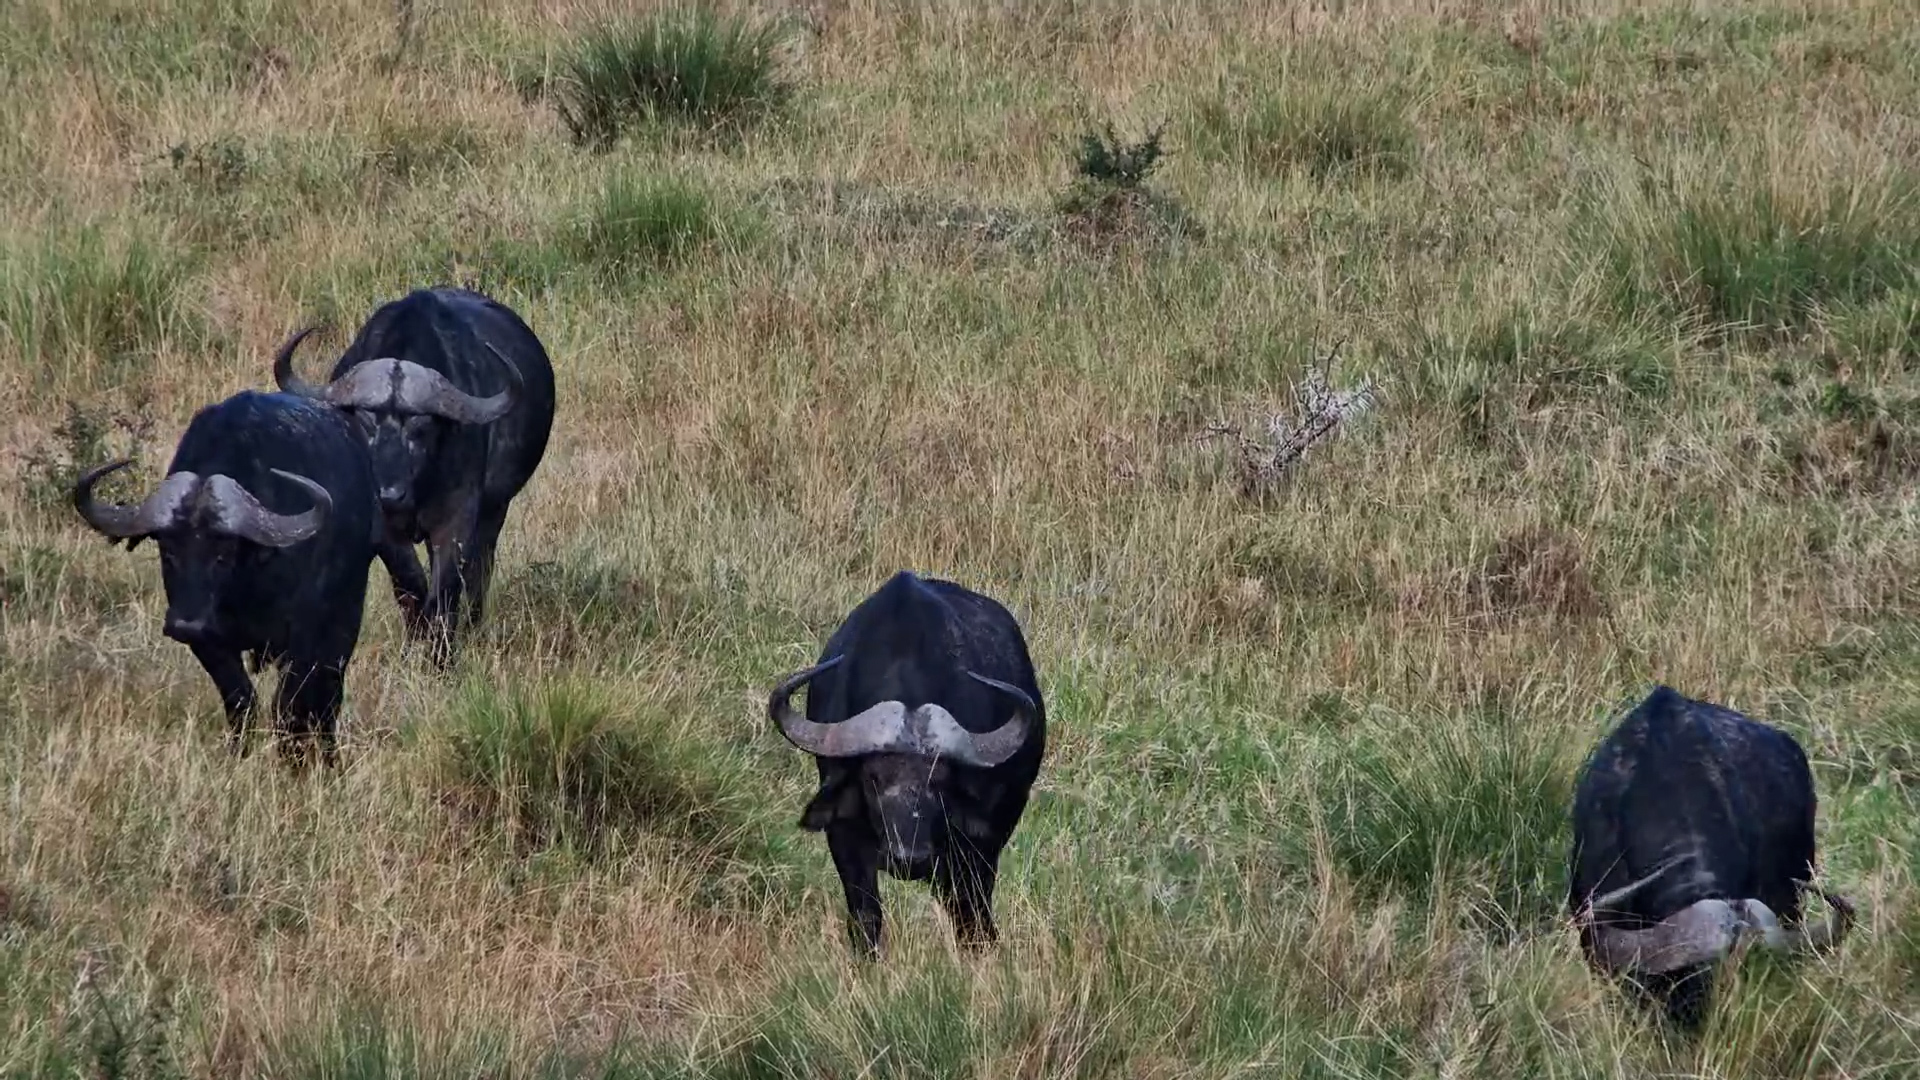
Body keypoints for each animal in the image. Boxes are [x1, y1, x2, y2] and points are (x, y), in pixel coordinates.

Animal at [72, 390, 379, 766]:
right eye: (168, 551)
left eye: (223, 554)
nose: (184, 624)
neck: (248, 585)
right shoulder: (209, 641)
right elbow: (240, 699)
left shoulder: (305, 638)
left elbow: (290, 705)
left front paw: (292, 761)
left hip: (345, 618)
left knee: (328, 694)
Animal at [272, 286, 555, 665]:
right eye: (366, 421)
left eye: (420, 427)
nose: (390, 494)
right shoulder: (385, 532)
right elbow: (410, 586)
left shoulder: (457, 520)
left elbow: (446, 589)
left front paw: (441, 657)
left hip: (496, 509)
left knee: (480, 569)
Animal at [767, 570, 1047, 957]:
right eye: (872, 779)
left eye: (939, 783)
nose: (908, 858)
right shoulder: (844, 836)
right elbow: (866, 916)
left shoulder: (972, 849)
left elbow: (970, 913)